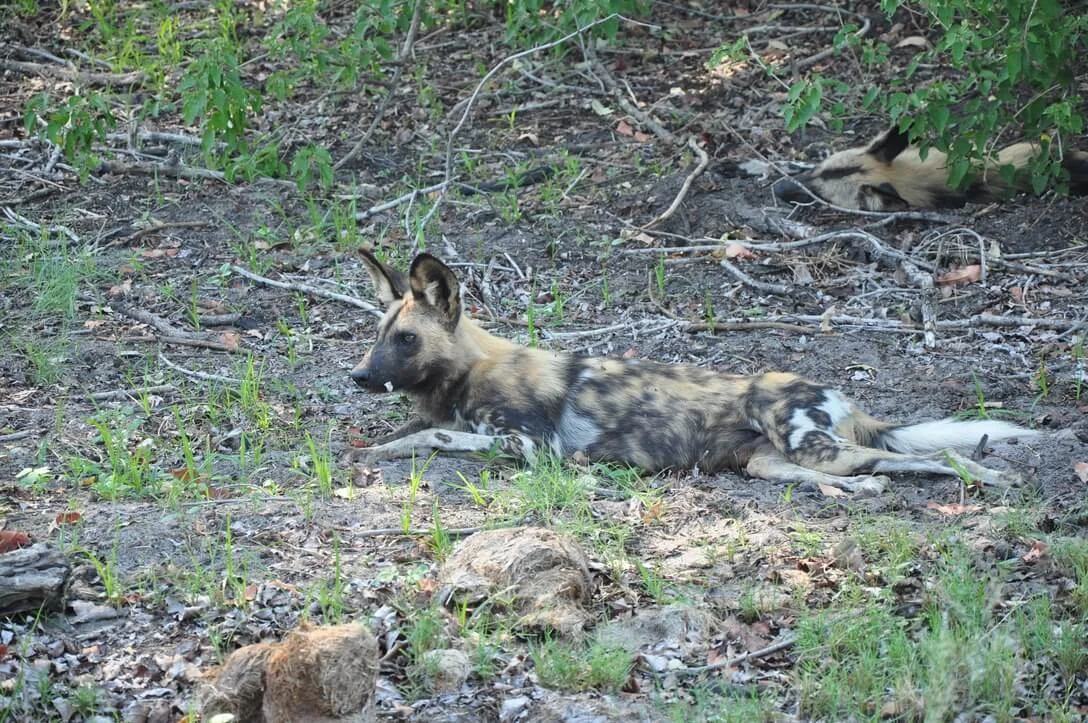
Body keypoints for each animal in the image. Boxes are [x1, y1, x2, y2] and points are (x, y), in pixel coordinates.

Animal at [349, 250, 1036, 494]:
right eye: (378, 336)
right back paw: (859, 492)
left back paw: (988, 477)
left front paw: (393, 447)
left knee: (922, 457)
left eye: (406, 340)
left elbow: (433, 435)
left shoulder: (529, 445)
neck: (468, 369)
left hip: (808, 440)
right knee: (865, 472)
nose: (357, 378)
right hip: (772, 461)